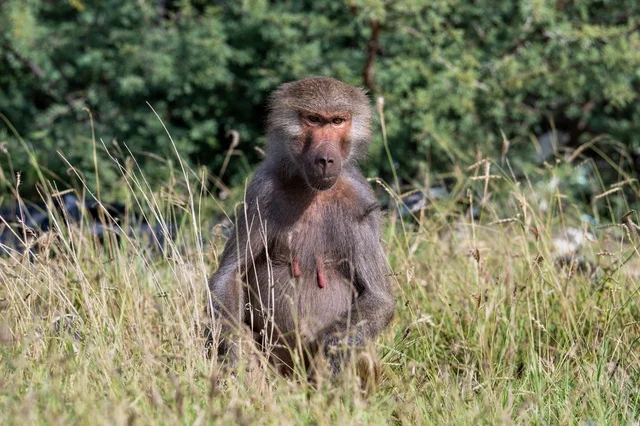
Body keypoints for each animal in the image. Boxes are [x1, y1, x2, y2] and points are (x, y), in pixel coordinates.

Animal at [207, 76, 395, 377]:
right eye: (314, 119)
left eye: (337, 121)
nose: (326, 160)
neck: (311, 189)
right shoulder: (261, 191)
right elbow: (229, 275)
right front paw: (237, 358)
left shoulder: (362, 201)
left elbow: (378, 297)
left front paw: (333, 356)